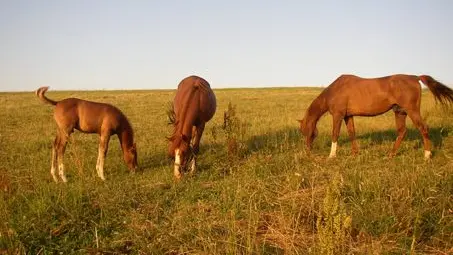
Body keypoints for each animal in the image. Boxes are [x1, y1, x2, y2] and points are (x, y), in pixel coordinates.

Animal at [296, 73, 452, 158]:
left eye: (306, 131)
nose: (307, 151)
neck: (335, 90)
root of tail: (415, 77)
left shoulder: (338, 115)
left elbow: (335, 134)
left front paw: (331, 156)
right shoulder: (348, 116)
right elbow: (352, 133)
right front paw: (355, 153)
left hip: (412, 111)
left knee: (423, 128)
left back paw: (427, 155)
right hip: (400, 112)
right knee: (402, 132)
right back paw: (390, 155)